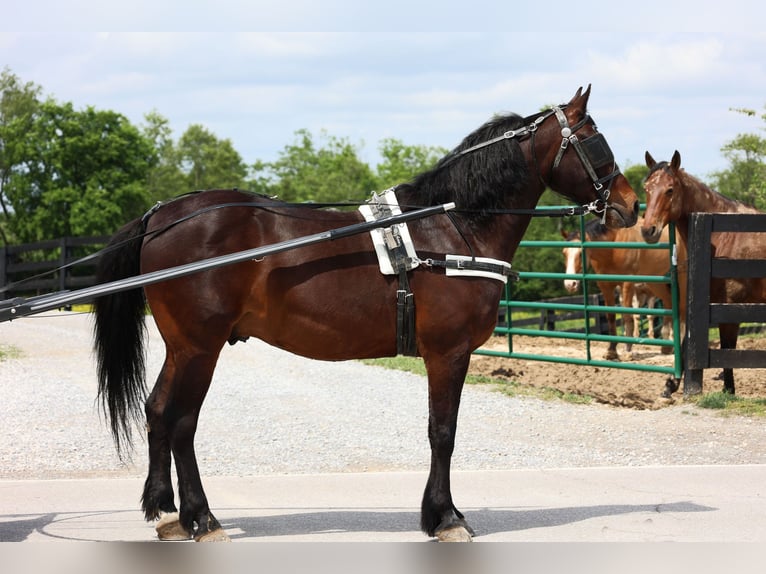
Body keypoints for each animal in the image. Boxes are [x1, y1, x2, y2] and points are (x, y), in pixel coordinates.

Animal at [93, 86, 640, 544]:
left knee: (159, 412)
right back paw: (201, 518)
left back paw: (169, 513)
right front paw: (446, 517)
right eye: (594, 140)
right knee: (180, 419)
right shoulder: (448, 352)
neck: (452, 225)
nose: (630, 205)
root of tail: (161, 216)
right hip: (198, 348)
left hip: (184, 348)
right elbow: (443, 432)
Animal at [560, 219, 676, 360]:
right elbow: (611, 316)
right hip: (656, 283)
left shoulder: (627, 284)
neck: (612, 248)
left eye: (581, 253)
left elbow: (627, 316)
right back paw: (667, 345)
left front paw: (627, 351)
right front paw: (611, 351)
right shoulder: (605, 286)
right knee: (669, 302)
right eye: (564, 253)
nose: (569, 284)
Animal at [644, 151, 764, 398]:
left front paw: (729, 390)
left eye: (670, 190)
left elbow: (727, 349)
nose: (648, 230)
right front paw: (671, 384)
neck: (724, 233)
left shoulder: (729, 308)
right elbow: (687, 343)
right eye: (646, 189)